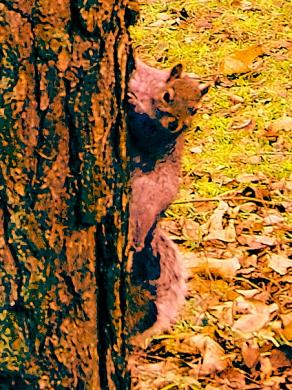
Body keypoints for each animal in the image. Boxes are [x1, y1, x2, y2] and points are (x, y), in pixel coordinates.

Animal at [126, 59, 209, 342]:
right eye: (168, 96)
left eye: (194, 109)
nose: (175, 124)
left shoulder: (157, 136)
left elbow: (142, 131)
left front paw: (131, 103)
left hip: (146, 201)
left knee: (140, 239)